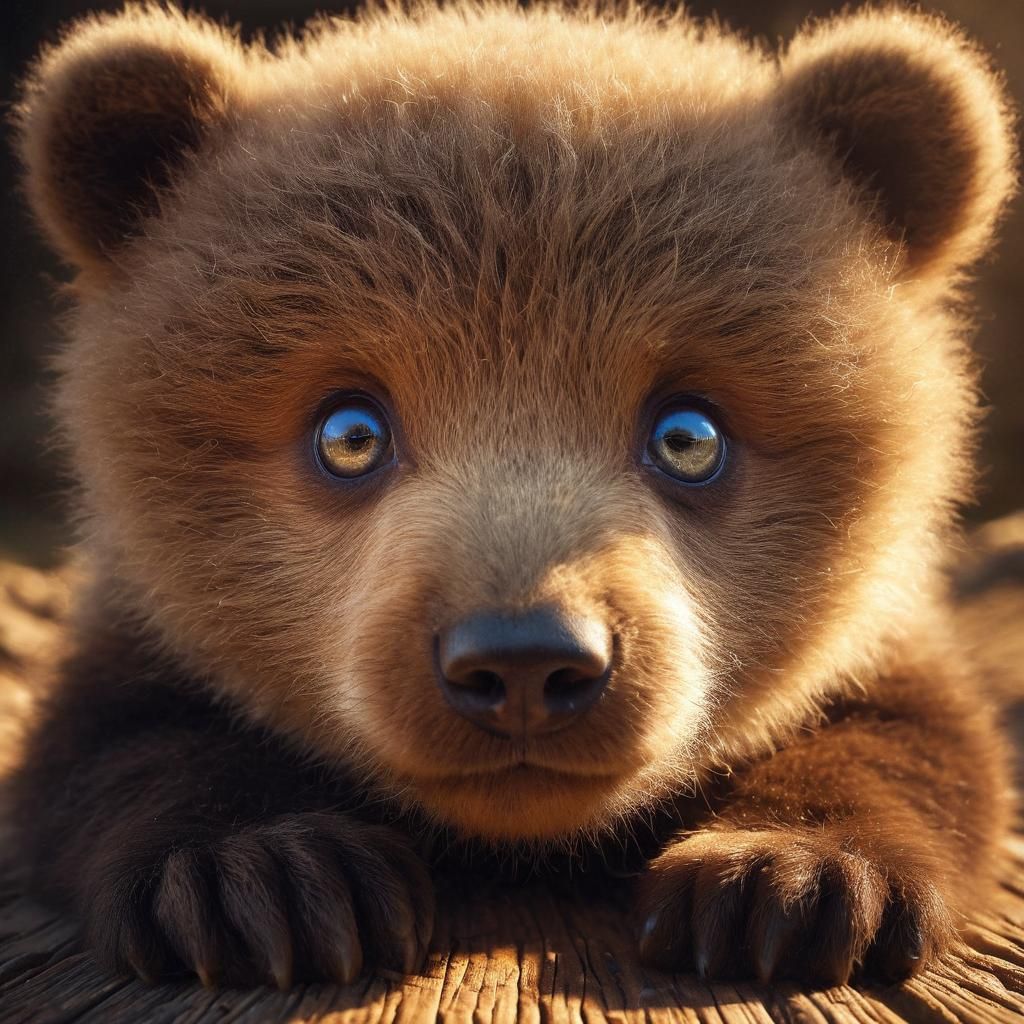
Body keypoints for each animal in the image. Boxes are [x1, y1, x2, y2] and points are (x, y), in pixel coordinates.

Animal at [6, 0, 1018, 990]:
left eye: (689, 437)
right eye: (349, 433)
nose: (525, 660)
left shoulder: (885, 631)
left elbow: (911, 738)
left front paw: (787, 877)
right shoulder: (136, 629)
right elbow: (120, 744)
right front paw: (262, 876)